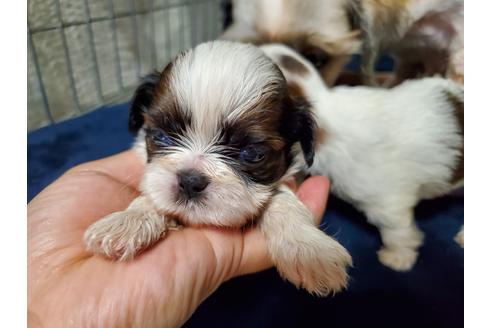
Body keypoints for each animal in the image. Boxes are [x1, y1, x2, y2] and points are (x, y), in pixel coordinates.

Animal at [85, 40, 354, 294]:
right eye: (161, 137)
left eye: (252, 153)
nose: (190, 180)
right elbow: (152, 195)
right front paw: (127, 221)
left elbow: (283, 200)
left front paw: (309, 249)